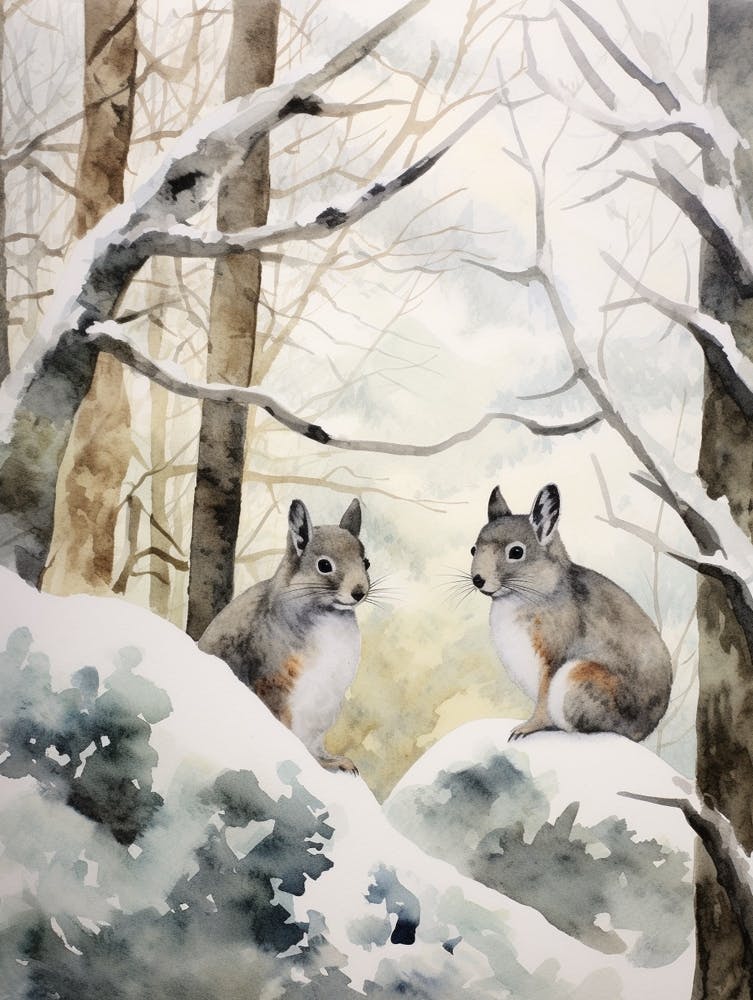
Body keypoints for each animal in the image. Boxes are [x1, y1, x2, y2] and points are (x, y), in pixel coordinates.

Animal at [198, 498, 370, 774]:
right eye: (324, 565)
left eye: (366, 562)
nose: (359, 592)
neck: (329, 615)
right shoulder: (274, 685)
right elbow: (288, 731)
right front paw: (318, 763)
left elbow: (316, 745)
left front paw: (334, 760)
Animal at [470, 482, 672, 742]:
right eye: (473, 549)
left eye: (516, 552)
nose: (478, 580)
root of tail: (641, 730)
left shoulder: (552, 657)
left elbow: (542, 701)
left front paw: (525, 728)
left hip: (578, 679)